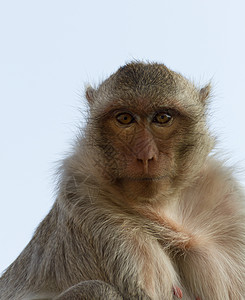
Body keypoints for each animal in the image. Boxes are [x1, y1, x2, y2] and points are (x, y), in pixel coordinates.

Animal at [0, 61, 245, 300]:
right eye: (125, 118)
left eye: (163, 118)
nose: (145, 156)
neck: (164, 206)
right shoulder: (93, 206)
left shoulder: (226, 202)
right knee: (97, 289)